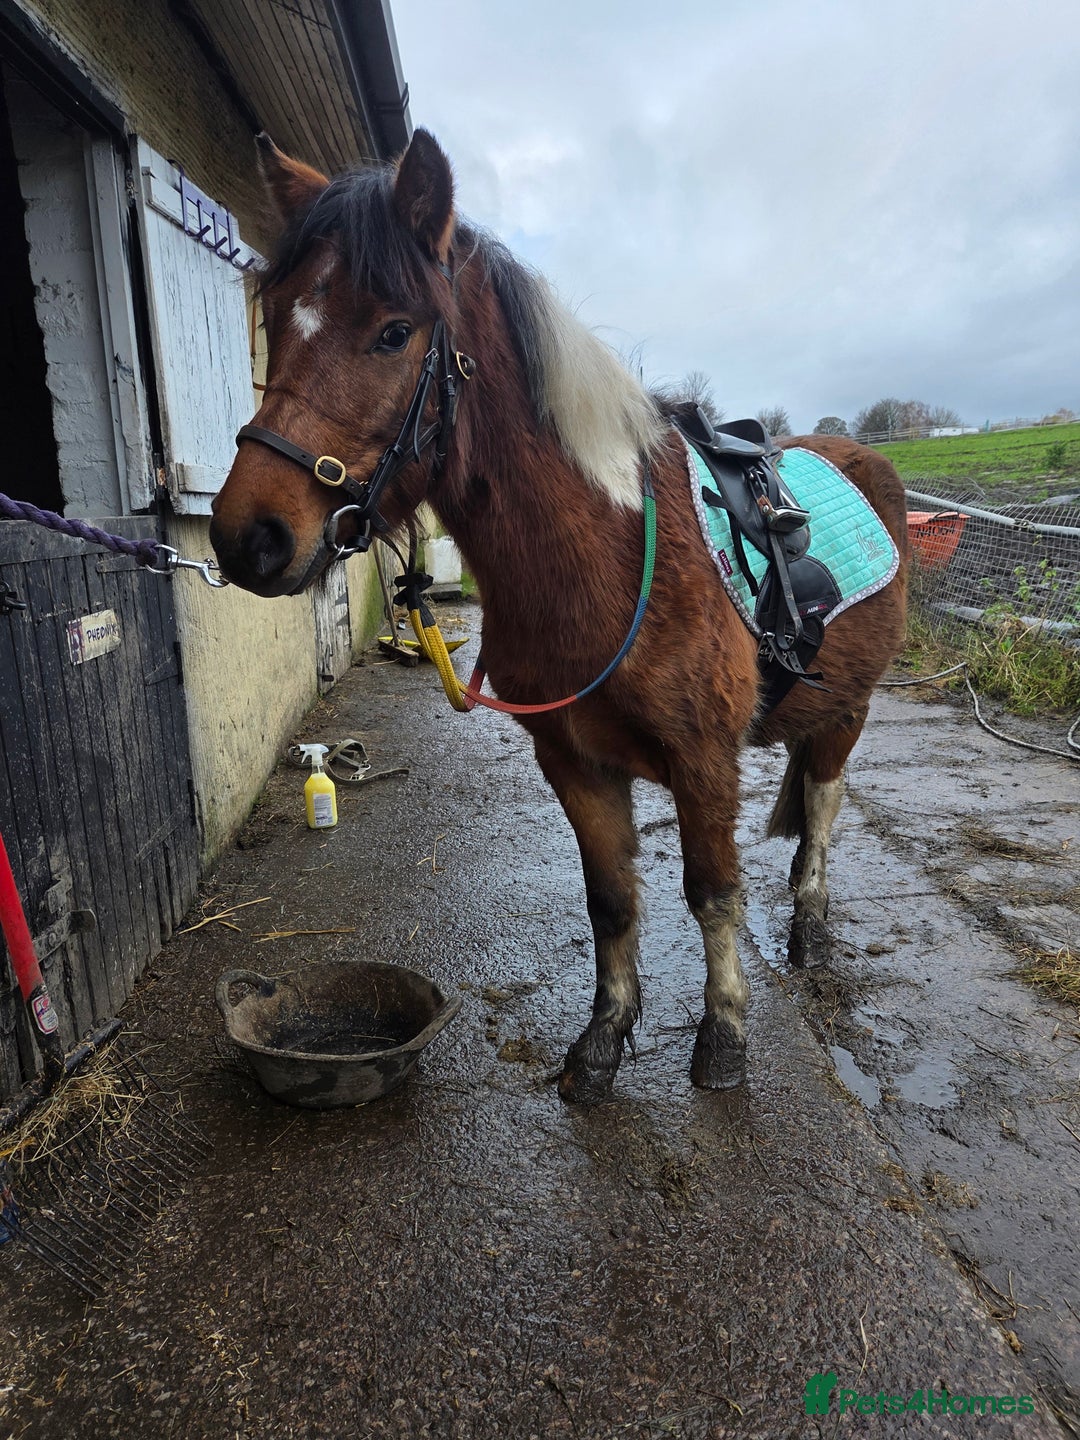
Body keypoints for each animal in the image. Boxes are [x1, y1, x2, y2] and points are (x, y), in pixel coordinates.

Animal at [210, 129, 908, 1104]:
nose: (250, 538)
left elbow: (713, 893)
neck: (606, 557)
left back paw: (809, 926)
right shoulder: (574, 762)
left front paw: (724, 1037)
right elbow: (610, 899)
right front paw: (603, 1039)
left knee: (824, 803)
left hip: (849, 708)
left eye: (394, 331)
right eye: (275, 319)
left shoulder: (705, 762)